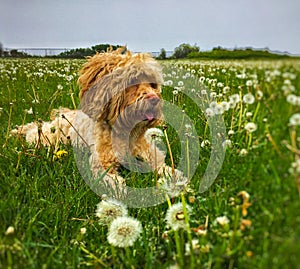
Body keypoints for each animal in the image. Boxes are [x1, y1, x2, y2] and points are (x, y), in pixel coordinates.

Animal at [11, 47, 185, 195]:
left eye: (152, 84)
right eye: (132, 81)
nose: (155, 99)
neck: (125, 131)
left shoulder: (150, 155)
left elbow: (165, 169)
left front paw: (176, 179)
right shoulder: (101, 165)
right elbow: (113, 181)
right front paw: (121, 192)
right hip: (50, 137)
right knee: (36, 131)